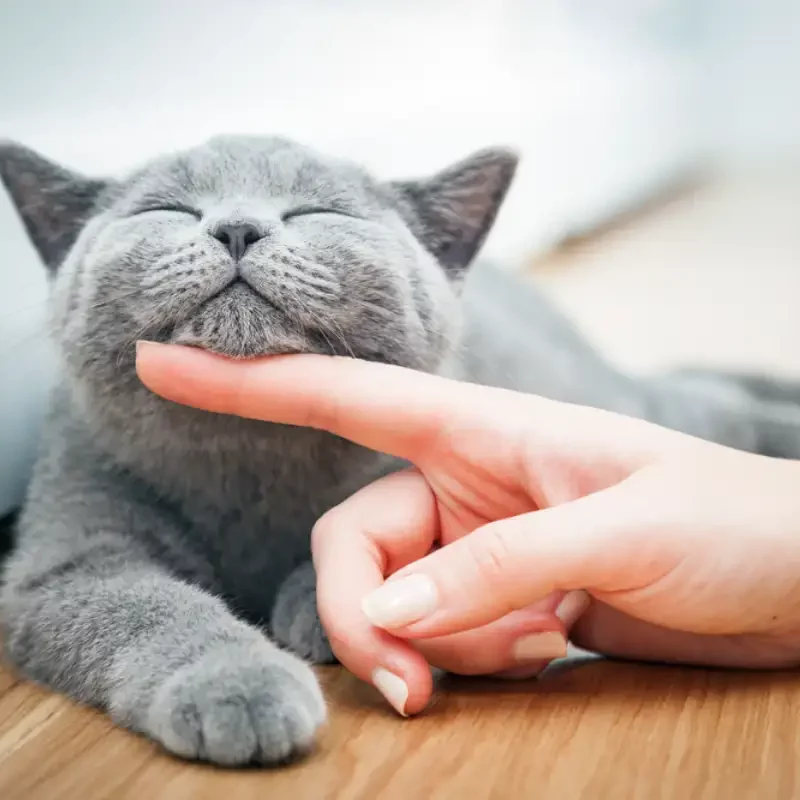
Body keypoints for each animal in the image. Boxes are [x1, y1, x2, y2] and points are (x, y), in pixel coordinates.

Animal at [1, 138, 800, 768]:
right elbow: (147, 606)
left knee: (701, 402)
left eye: (317, 213)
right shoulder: (69, 555)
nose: (237, 226)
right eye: (166, 209)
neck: (246, 454)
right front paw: (237, 684)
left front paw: (315, 606)